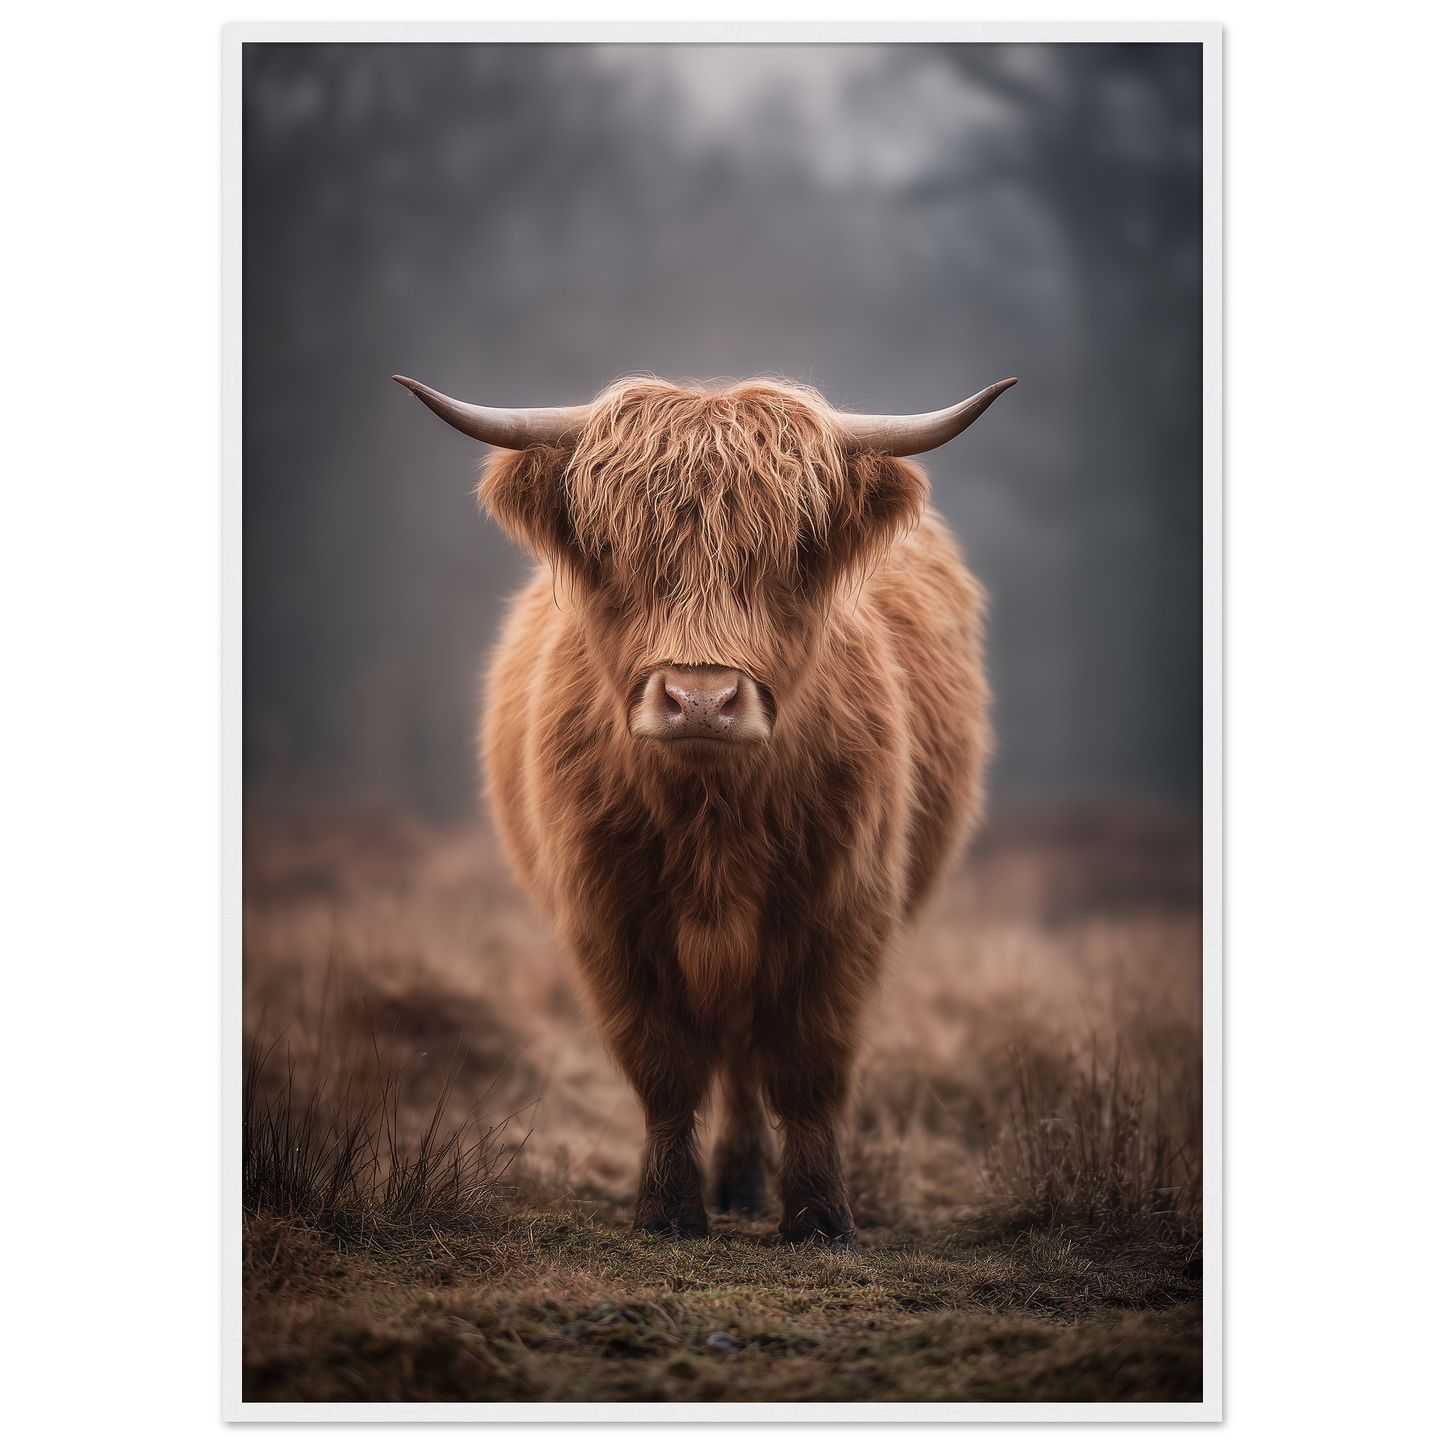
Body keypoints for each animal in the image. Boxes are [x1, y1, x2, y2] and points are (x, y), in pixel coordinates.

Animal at [393, 370, 1014, 1250]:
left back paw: (746, 1185)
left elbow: (808, 1069)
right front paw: (666, 1212)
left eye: (793, 551)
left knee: (750, 1058)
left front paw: (820, 1219)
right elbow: (663, 1067)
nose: (700, 699)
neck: (712, 820)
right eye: (614, 548)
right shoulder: (609, 921)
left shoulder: (842, 915)